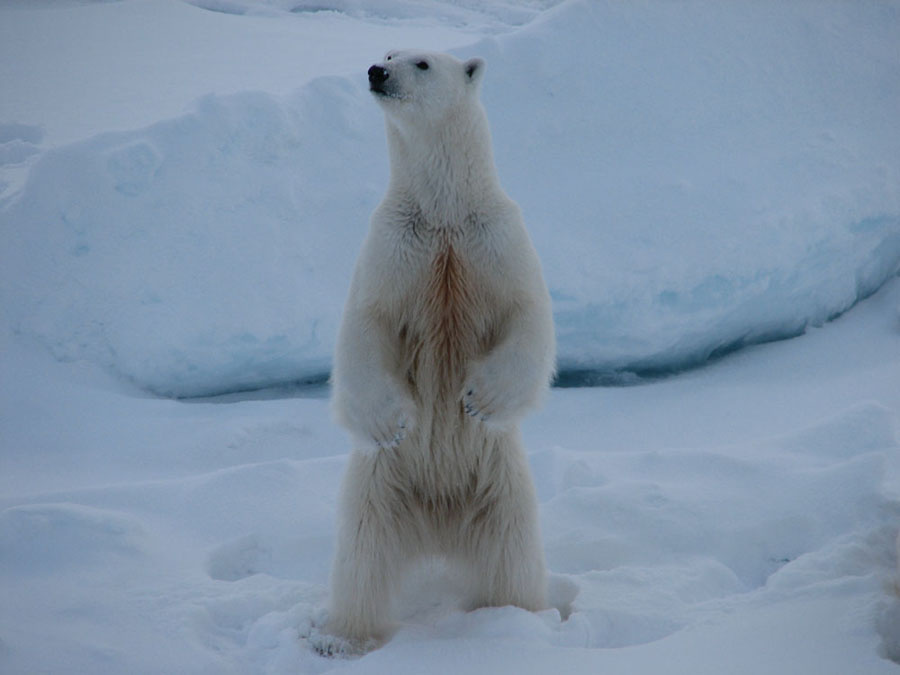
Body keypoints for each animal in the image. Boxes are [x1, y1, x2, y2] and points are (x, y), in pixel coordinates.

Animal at [326, 49, 556, 649]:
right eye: (388, 52)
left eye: (422, 62)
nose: (376, 72)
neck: (444, 213)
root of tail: (438, 526)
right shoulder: (393, 244)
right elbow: (365, 324)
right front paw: (392, 422)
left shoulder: (495, 236)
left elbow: (528, 316)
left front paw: (480, 399)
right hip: (381, 490)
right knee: (361, 558)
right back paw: (342, 637)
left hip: (501, 491)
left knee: (513, 561)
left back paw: (521, 619)